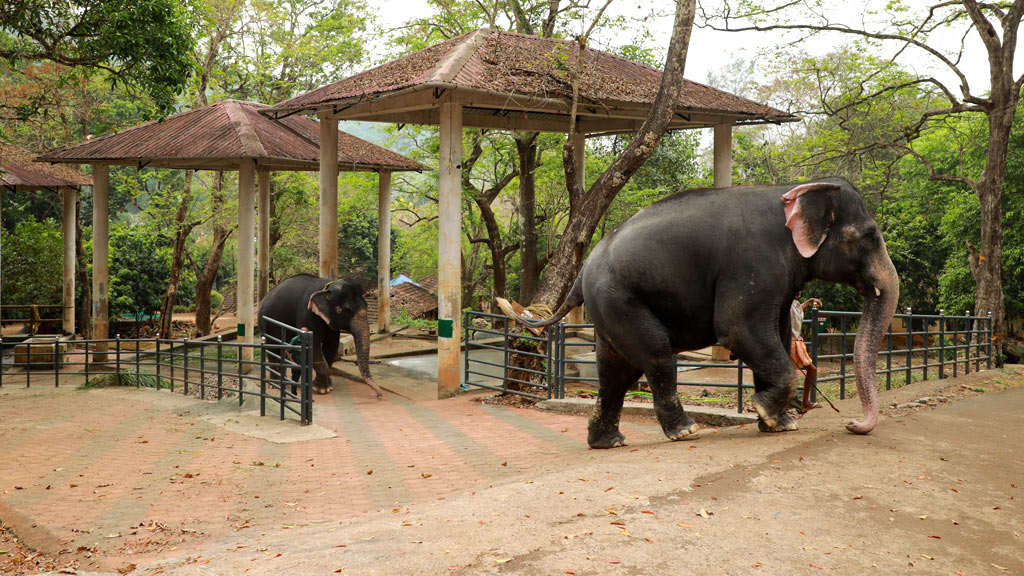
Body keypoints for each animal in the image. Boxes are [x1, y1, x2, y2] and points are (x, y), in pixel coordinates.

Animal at [256, 272, 385, 397]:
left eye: (367, 306)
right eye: (344, 310)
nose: (377, 394)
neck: (327, 288)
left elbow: (332, 346)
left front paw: (327, 386)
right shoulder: (308, 314)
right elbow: (314, 347)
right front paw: (321, 390)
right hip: (265, 323)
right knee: (273, 348)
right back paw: (275, 384)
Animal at [524, 177, 901, 446]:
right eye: (870, 236)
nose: (852, 424)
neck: (796, 189)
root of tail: (582, 273)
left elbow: (777, 335)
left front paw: (780, 424)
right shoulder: (752, 264)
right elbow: (738, 328)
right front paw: (766, 410)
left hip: (609, 308)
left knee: (618, 371)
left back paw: (609, 442)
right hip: (618, 299)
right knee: (656, 354)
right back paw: (685, 431)